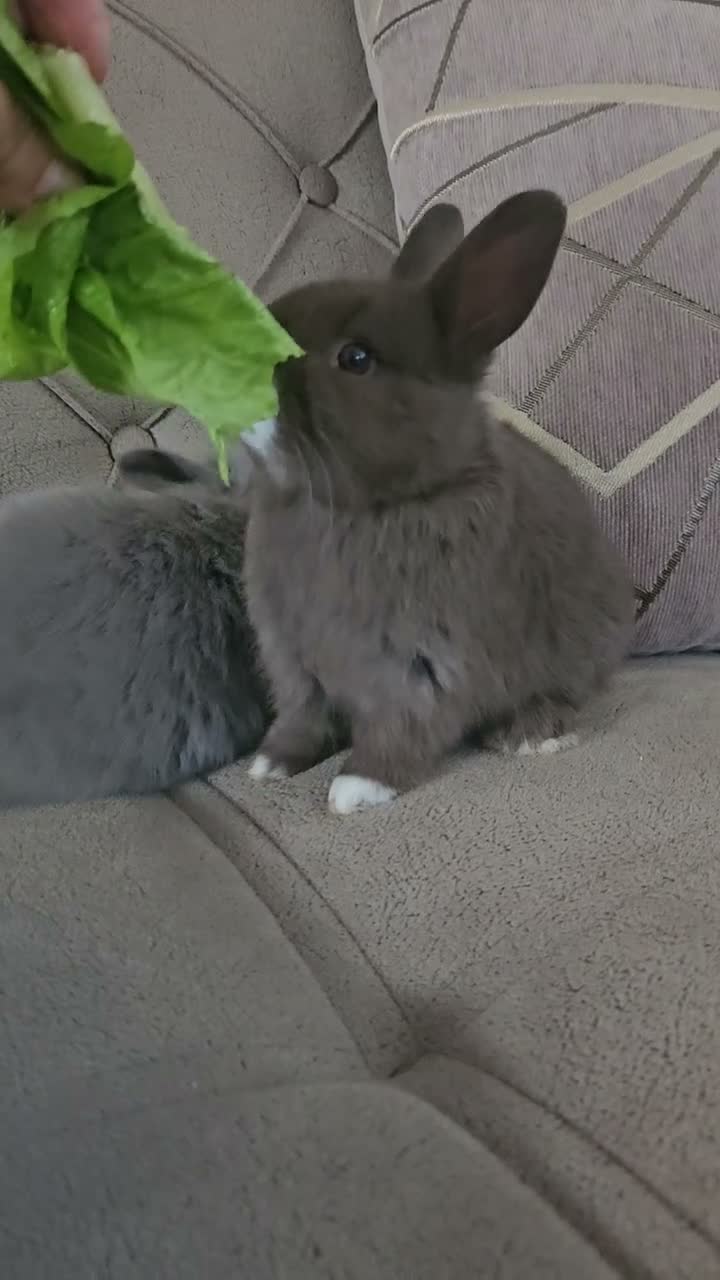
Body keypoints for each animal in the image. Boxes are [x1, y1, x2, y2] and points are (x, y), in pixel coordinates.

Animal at [240, 190, 635, 816]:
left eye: (356, 358)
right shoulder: (293, 660)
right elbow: (303, 716)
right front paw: (270, 763)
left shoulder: (422, 666)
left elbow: (402, 727)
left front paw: (356, 788)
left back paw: (529, 734)